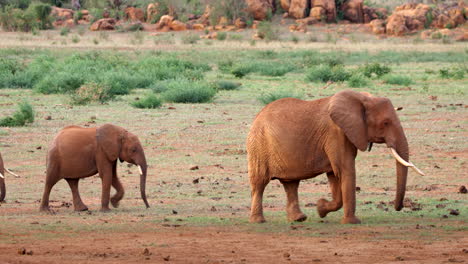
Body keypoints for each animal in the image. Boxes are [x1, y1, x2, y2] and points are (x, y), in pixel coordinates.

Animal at [249, 89, 424, 224]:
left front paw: (320, 208)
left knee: (291, 184)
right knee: (259, 183)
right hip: (259, 145)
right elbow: (345, 169)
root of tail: (257, 115)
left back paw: (299, 219)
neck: (363, 99)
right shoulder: (336, 133)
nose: (397, 207)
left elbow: (334, 174)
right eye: (386, 123)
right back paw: (258, 221)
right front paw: (352, 222)